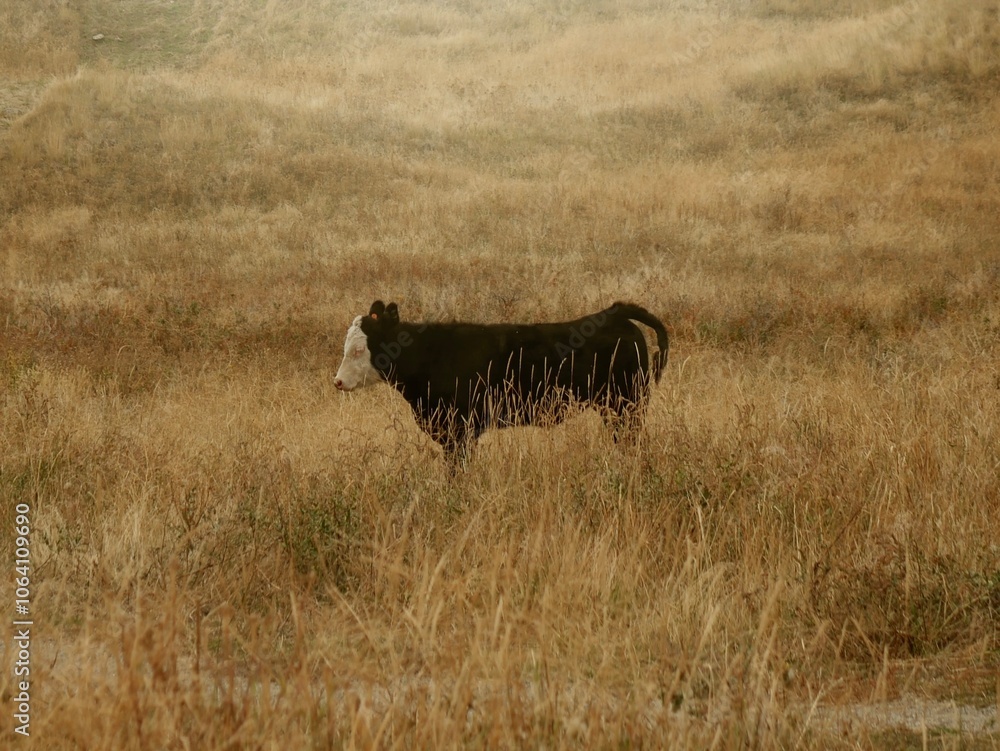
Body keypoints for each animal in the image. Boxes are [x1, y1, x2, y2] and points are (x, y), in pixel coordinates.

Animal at [334, 300, 668, 467]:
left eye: (359, 349)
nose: (337, 382)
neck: (431, 354)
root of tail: (613, 314)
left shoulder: (460, 431)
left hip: (627, 405)